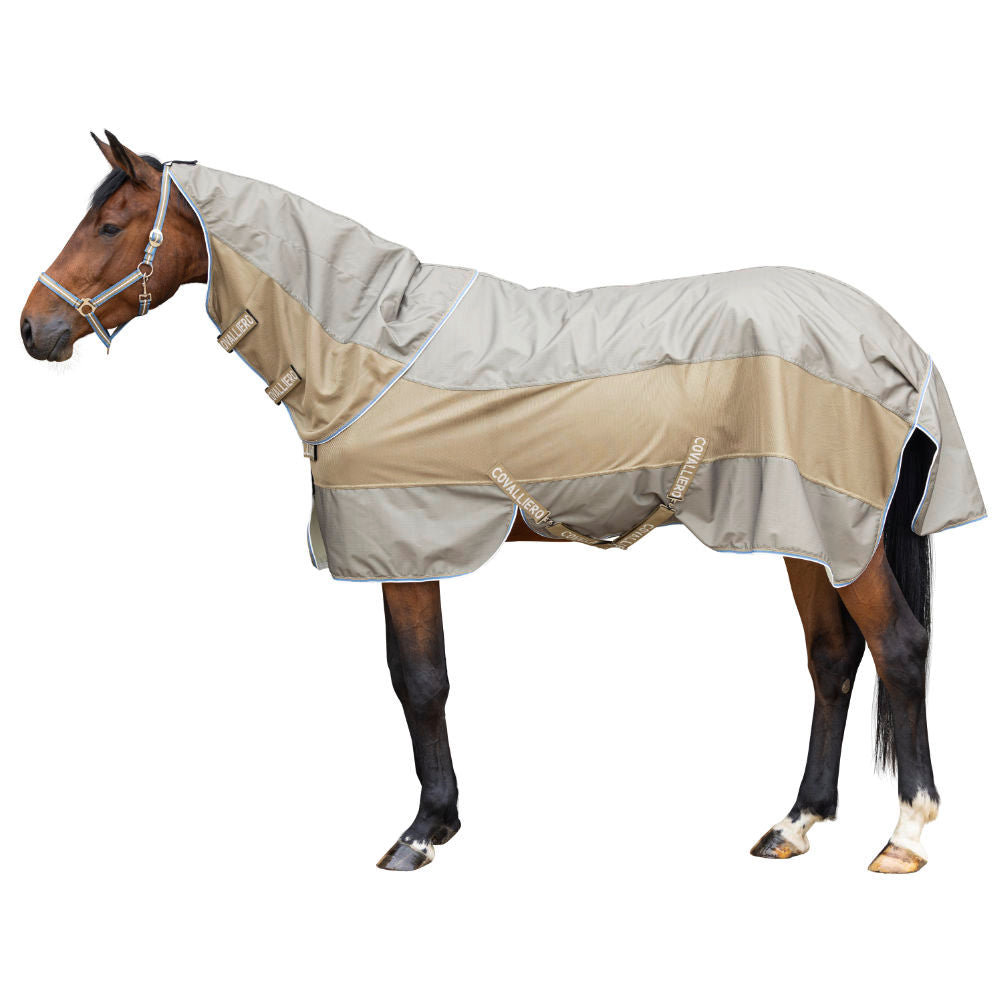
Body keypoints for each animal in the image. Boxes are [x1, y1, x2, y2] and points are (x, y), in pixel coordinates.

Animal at [20, 131, 985, 873]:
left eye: (110, 224)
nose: (34, 328)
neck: (368, 348)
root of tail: (895, 340)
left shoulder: (406, 548)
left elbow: (419, 683)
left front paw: (422, 832)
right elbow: (422, 681)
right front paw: (438, 822)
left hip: (842, 533)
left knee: (898, 649)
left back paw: (904, 836)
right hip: (806, 530)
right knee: (833, 659)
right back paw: (796, 822)